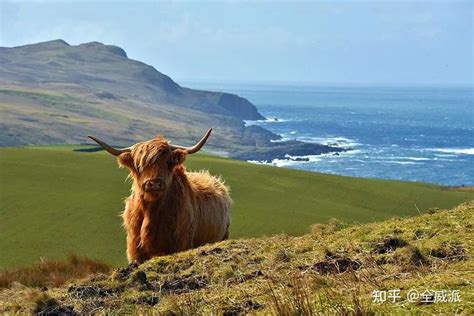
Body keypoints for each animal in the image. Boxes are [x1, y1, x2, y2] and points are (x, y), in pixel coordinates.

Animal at [89, 129, 231, 264]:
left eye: (168, 162)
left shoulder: (180, 243)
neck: (150, 212)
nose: (154, 183)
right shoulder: (135, 250)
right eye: (139, 165)